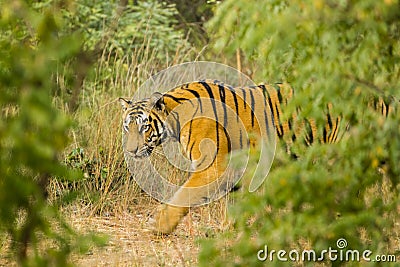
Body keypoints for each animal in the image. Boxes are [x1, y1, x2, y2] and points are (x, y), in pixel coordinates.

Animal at [118, 79, 340, 234]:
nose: (131, 151)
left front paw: (159, 226)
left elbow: (184, 195)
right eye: (127, 127)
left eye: (144, 127)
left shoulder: (212, 166)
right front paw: (228, 228)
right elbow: (233, 201)